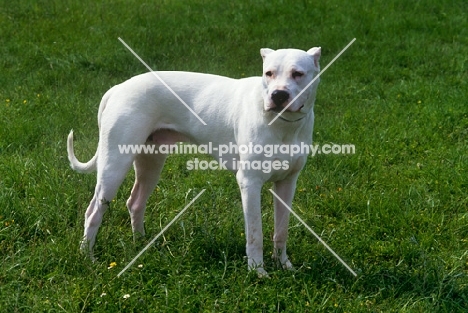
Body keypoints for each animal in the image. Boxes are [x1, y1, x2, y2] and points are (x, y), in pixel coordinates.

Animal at [66, 46, 322, 276]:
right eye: (268, 73)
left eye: (298, 74)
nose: (278, 95)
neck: (282, 125)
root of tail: (118, 88)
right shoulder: (250, 183)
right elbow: (255, 233)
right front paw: (258, 272)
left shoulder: (287, 184)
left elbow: (282, 231)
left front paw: (283, 265)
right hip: (115, 165)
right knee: (93, 212)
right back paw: (87, 257)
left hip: (151, 163)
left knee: (135, 202)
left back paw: (141, 244)